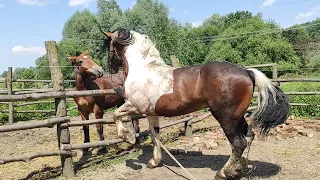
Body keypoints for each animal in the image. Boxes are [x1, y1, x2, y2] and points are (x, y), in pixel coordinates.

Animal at [102, 29, 290, 180]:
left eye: (109, 46)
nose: (110, 69)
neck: (145, 69)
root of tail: (246, 71)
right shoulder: (151, 113)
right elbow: (156, 137)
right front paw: (154, 162)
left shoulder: (135, 106)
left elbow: (116, 115)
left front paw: (128, 137)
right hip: (238, 116)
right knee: (249, 137)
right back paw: (239, 170)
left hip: (225, 117)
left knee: (239, 143)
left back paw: (223, 173)